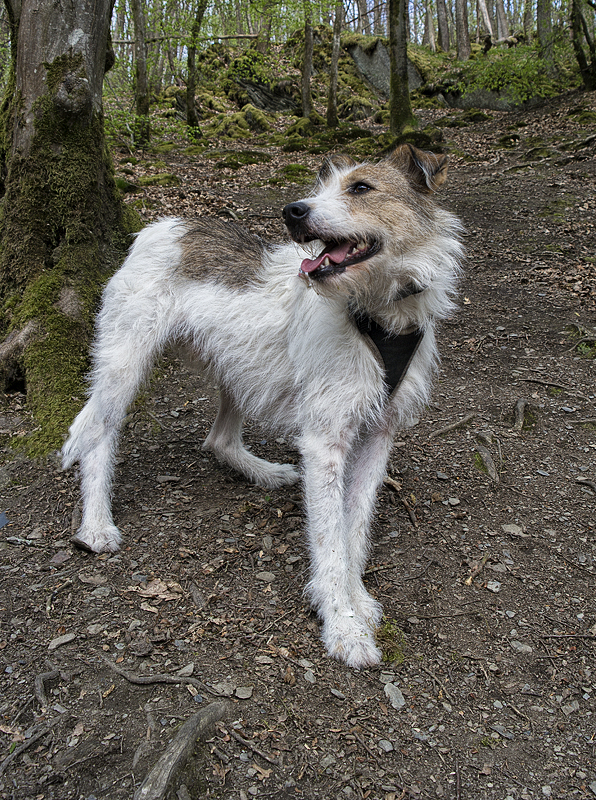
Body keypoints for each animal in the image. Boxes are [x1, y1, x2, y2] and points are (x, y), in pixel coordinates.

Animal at [62, 145, 464, 668]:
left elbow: (354, 526)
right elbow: (329, 538)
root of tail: (163, 226)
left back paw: (265, 472)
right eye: (319, 188)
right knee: (98, 432)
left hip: (238, 365)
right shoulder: (325, 443)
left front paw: (355, 599)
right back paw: (95, 524)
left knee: (218, 439)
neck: (378, 312)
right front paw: (342, 624)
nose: (294, 211)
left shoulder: (379, 435)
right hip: (124, 364)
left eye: (361, 188)